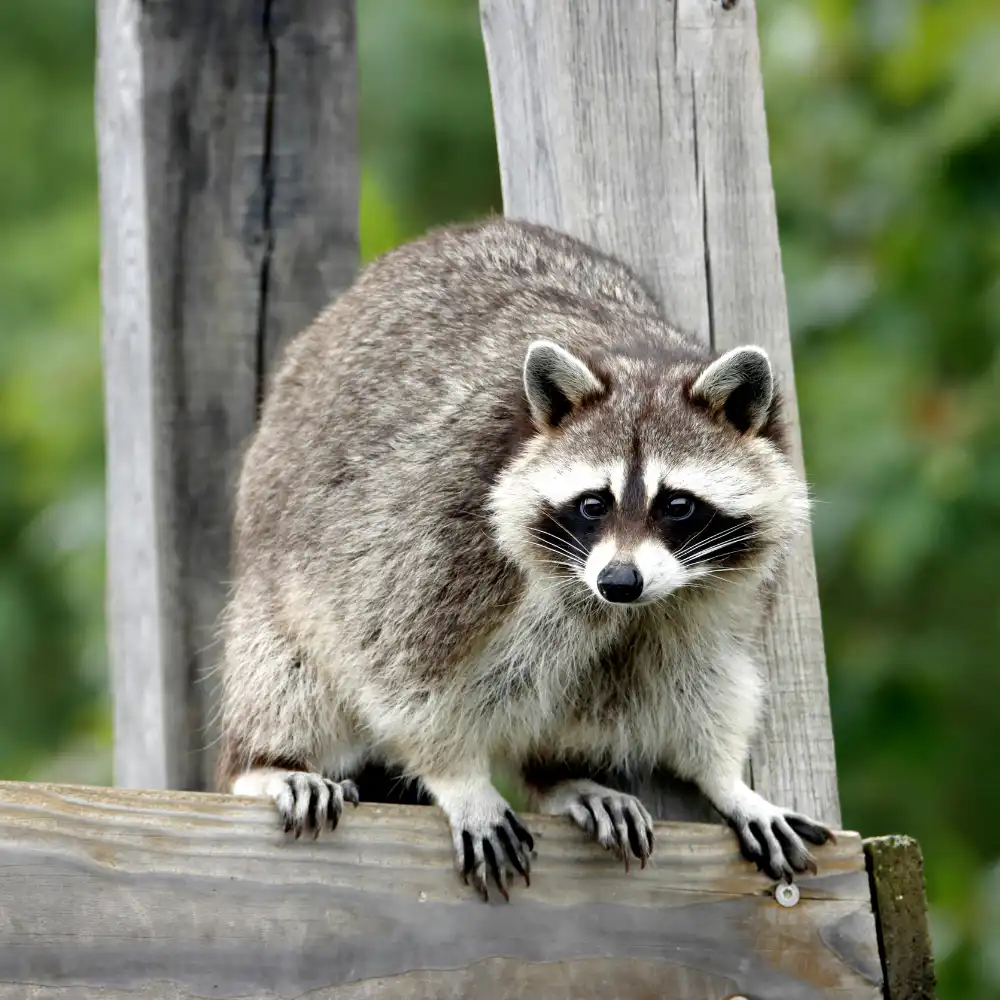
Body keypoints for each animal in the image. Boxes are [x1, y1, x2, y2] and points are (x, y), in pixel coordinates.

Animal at [219, 217, 832, 899]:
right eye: (593, 504)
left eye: (677, 505)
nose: (619, 582)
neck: (637, 356)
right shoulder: (440, 528)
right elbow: (400, 671)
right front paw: (458, 776)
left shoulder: (713, 592)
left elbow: (704, 673)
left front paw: (724, 778)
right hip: (278, 574)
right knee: (287, 670)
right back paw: (266, 761)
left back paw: (562, 775)